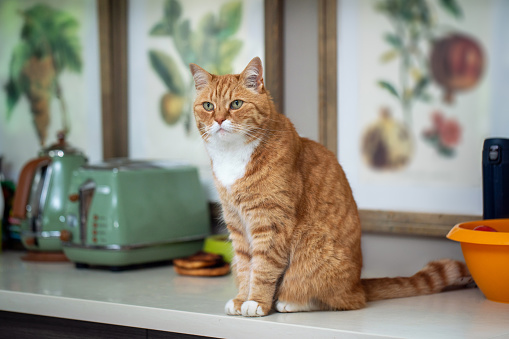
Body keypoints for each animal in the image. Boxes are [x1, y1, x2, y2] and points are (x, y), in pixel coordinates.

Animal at [190, 57, 472, 318]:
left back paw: (290, 302)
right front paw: (241, 299)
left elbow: (262, 268)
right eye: (208, 106)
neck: (233, 156)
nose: (219, 120)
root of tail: (359, 283)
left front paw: (256, 302)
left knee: (340, 300)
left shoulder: (270, 223)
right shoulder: (237, 224)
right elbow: (244, 266)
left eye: (236, 104)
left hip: (315, 252)